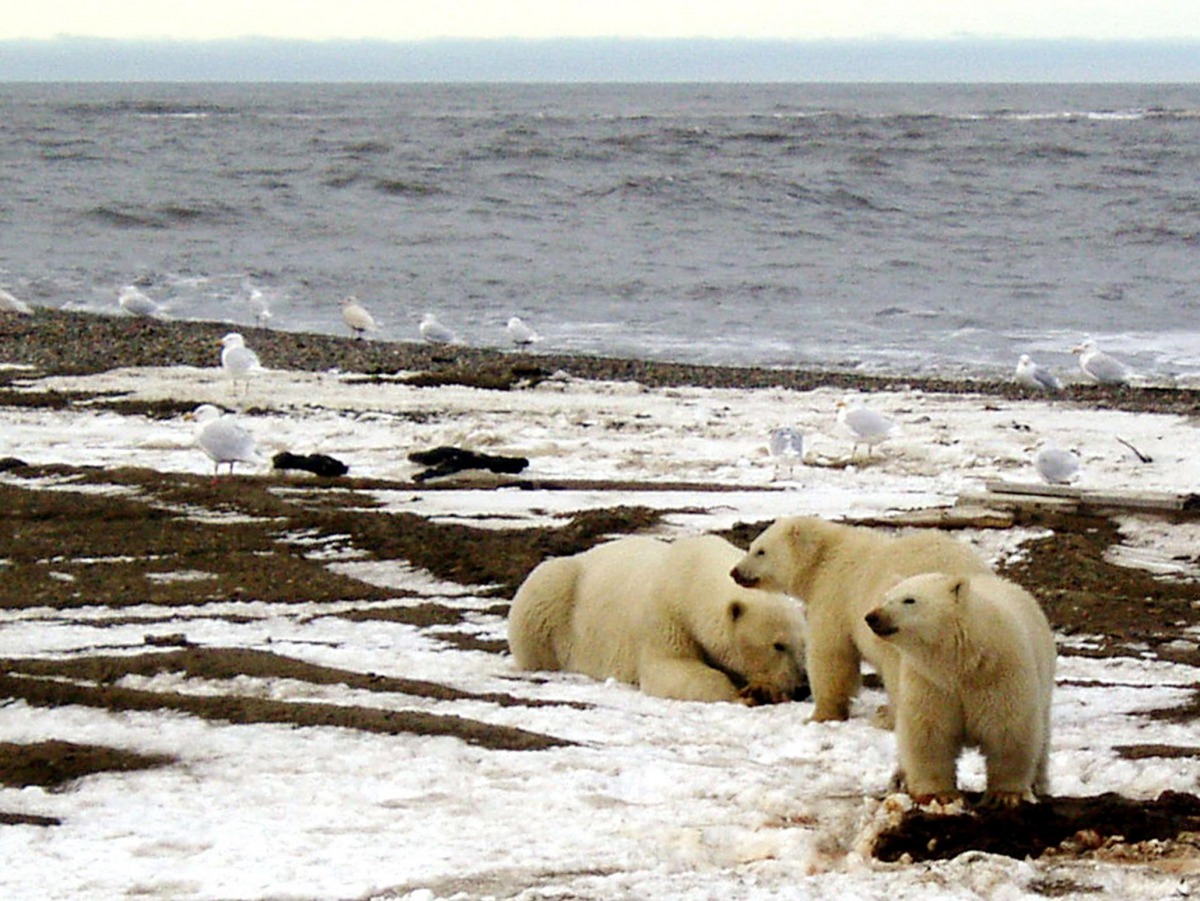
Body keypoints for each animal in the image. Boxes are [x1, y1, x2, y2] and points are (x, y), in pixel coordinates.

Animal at [508, 533, 808, 704]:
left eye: (803, 645)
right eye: (778, 645)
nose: (802, 686)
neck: (692, 577)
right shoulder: (664, 616)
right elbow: (670, 669)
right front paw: (745, 694)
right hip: (555, 595)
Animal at [730, 516, 991, 723]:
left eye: (760, 551)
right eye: (752, 546)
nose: (735, 572)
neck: (824, 557)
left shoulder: (836, 593)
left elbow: (832, 653)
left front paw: (821, 715)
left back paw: (888, 717)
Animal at [864, 571, 1056, 808]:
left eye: (909, 600)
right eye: (886, 597)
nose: (872, 616)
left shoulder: (1001, 674)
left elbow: (1008, 729)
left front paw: (1005, 794)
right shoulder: (929, 682)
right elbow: (929, 732)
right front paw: (940, 795)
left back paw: (1039, 785)